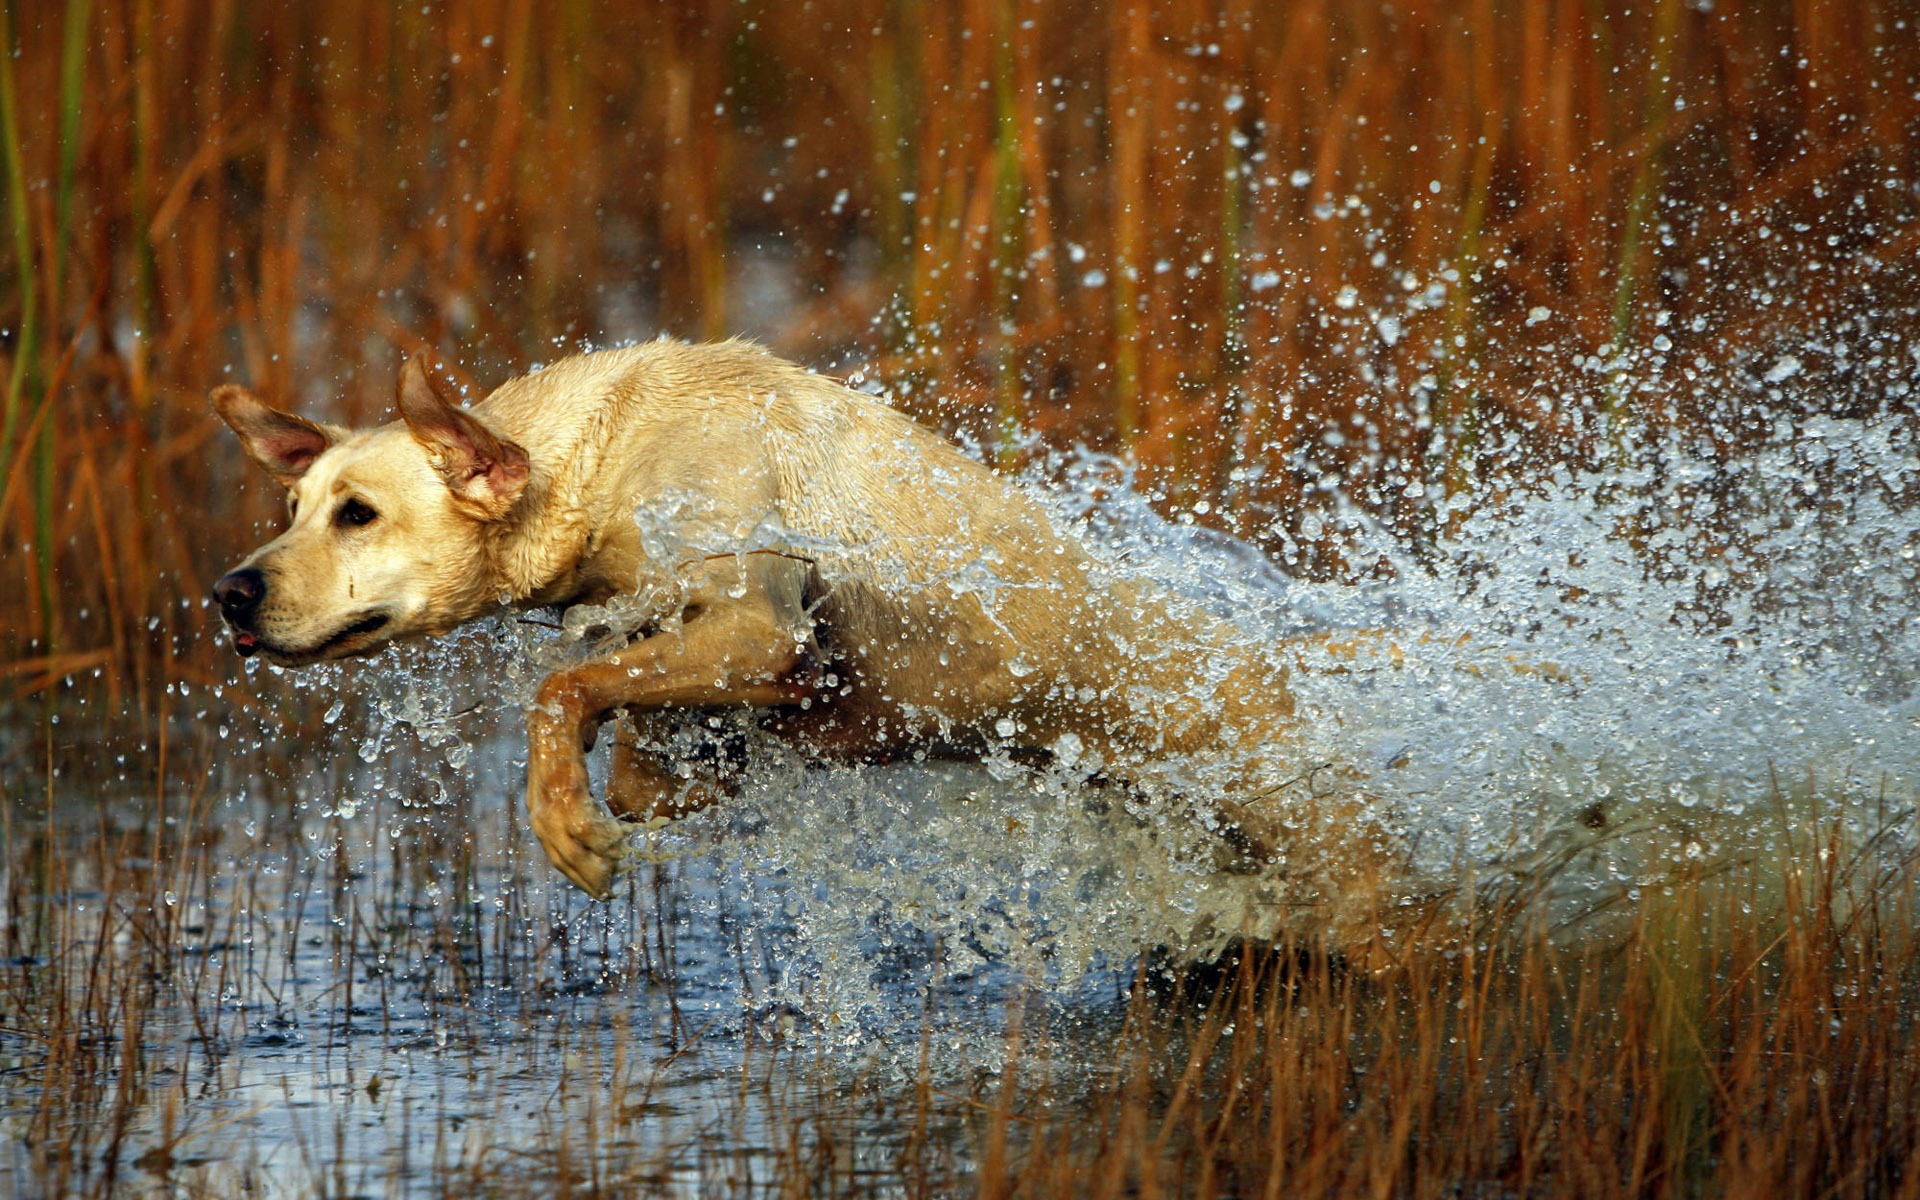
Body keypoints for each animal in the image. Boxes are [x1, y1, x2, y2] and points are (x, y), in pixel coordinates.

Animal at [214, 339, 1397, 936]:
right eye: (292, 508)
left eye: (358, 513)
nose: (230, 592)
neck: (600, 457)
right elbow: (636, 740)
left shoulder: (760, 617)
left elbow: (564, 688)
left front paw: (565, 821)